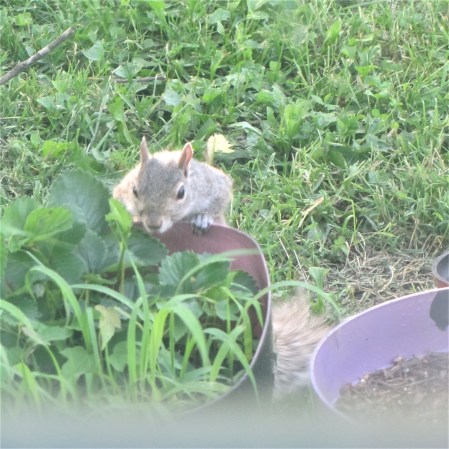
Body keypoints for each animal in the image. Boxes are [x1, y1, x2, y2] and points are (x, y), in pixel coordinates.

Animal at [113, 138, 331, 395]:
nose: (153, 224)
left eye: (181, 193)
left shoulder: (214, 186)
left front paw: (202, 218)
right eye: (135, 190)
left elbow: (223, 194)